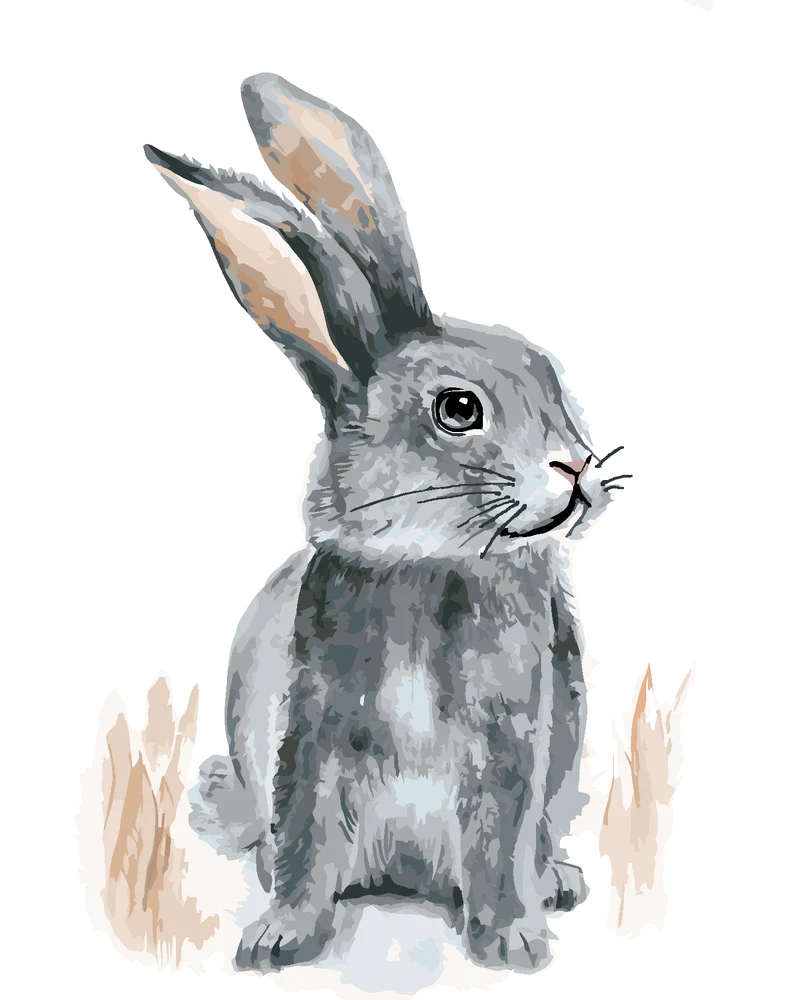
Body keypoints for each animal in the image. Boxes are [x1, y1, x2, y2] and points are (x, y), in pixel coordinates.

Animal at [145, 72, 628, 974]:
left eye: (551, 377)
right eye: (458, 409)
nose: (577, 467)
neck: (426, 564)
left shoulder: (513, 744)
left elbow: (499, 840)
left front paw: (511, 941)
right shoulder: (313, 732)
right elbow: (305, 839)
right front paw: (279, 940)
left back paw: (557, 883)